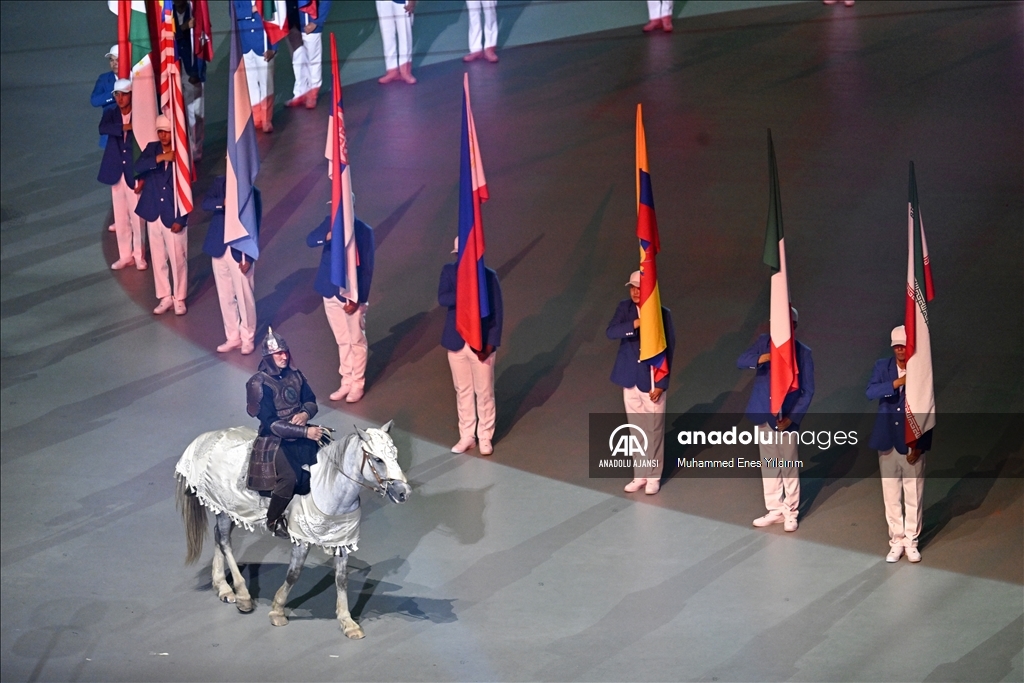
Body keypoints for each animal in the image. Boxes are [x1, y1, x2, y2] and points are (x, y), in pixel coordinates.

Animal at [174, 419, 409, 638]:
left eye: (395, 455)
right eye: (378, 459)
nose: (404, 493)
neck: (327, 486)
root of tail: (206, 438)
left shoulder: (340, 541)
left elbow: (341, 580)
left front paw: (347, 622)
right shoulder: (301, 539)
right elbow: (293, 574)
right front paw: (277, 611)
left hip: (228, 510)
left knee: (218, 537)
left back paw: (222, 587)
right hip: (224, 507)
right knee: (224, 542)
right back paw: (242, 595)